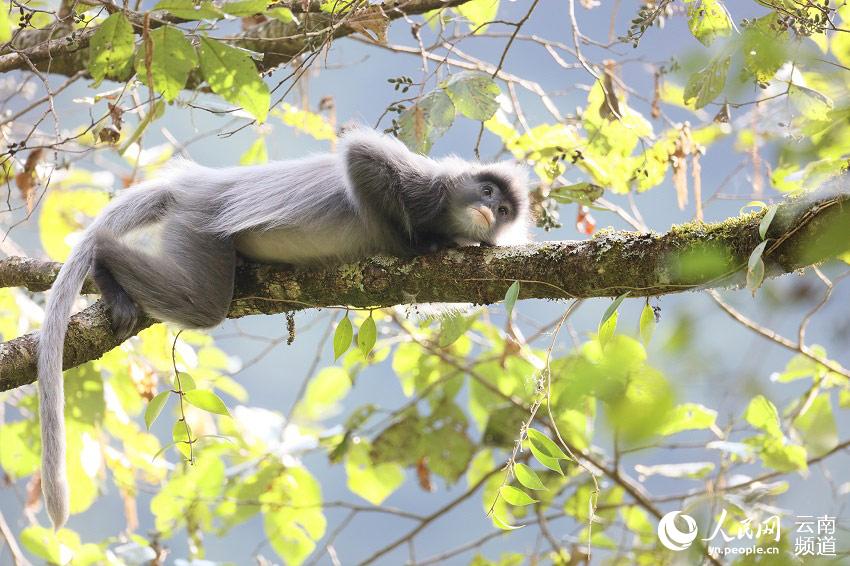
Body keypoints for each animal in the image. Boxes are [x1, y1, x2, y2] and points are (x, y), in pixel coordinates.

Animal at [37, 127, 530, 528]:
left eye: (503, 207)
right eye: (485, 190)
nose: (490, 209)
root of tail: (196, 183)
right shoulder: (425, 186)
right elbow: (362, 155)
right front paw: (415, 241)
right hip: (198, 221)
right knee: (203, 306)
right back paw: (103, 259)